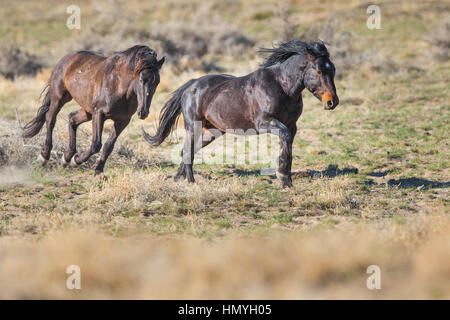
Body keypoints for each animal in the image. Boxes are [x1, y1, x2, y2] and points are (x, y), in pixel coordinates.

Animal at [22, 44, 165, 175]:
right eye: (141, 79)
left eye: (157, 81)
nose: (143, 112)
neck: (118, 85)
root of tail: (65, 59)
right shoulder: (99, 114)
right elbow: (96, 144)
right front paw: (77, 161)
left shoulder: (122, 121)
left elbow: (108, 146)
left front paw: (98, 170)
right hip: (59, 98)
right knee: (50, 120)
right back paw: (44, 157)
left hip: (87, 111)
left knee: (72, 119)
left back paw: (66, 158)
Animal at [143, 42, 338, 188]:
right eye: (319, 70)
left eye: (333, 70)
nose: (332, 102)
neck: (282, 88)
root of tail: (191, 85)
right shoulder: (264, 123)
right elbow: (285, 139)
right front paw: (282, 175)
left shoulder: (291, 125)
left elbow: (287, 143)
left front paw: (286, 180)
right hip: (194, 126)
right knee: (187, 150)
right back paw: (191, 181)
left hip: (210, 132)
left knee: (187, 150)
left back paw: (179, 178)